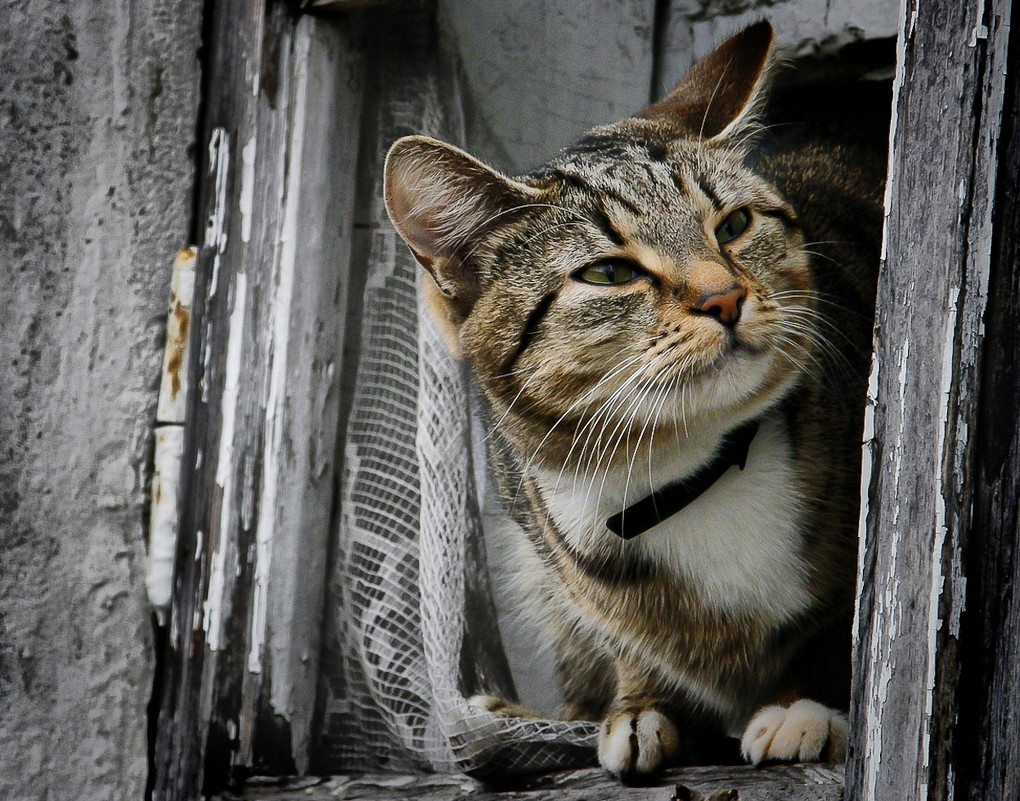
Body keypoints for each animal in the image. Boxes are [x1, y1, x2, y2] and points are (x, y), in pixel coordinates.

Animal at [383, 21, 885, 779]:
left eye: (733, 224)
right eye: (609, 273)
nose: (724, 296)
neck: (680, 476)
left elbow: (841, 619)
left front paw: (807, 704)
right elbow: (622, 638)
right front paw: (641, 706)